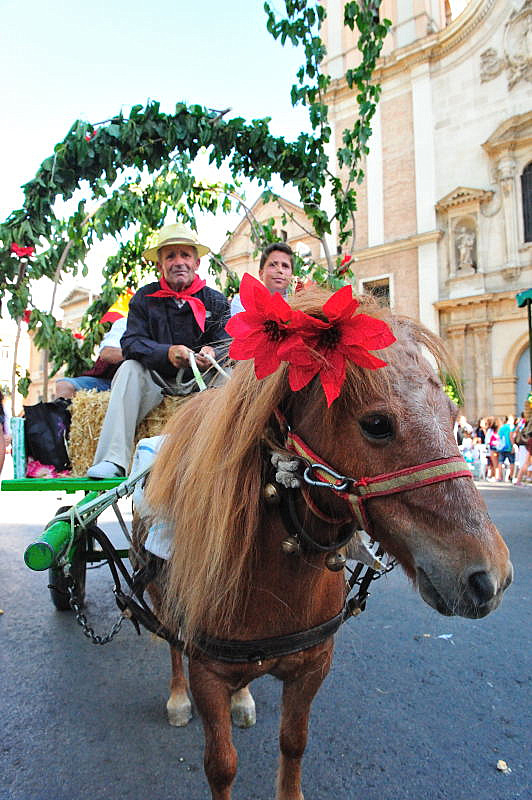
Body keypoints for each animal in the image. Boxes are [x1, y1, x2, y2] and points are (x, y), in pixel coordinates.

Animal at [140, 287, 512, 800]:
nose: (490, 576)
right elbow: (221, 764)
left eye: (454, 419)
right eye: (376, 423)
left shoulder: (313, 666)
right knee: (171, 642)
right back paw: (178, 698)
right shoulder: (207, 672)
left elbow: (294, 742)